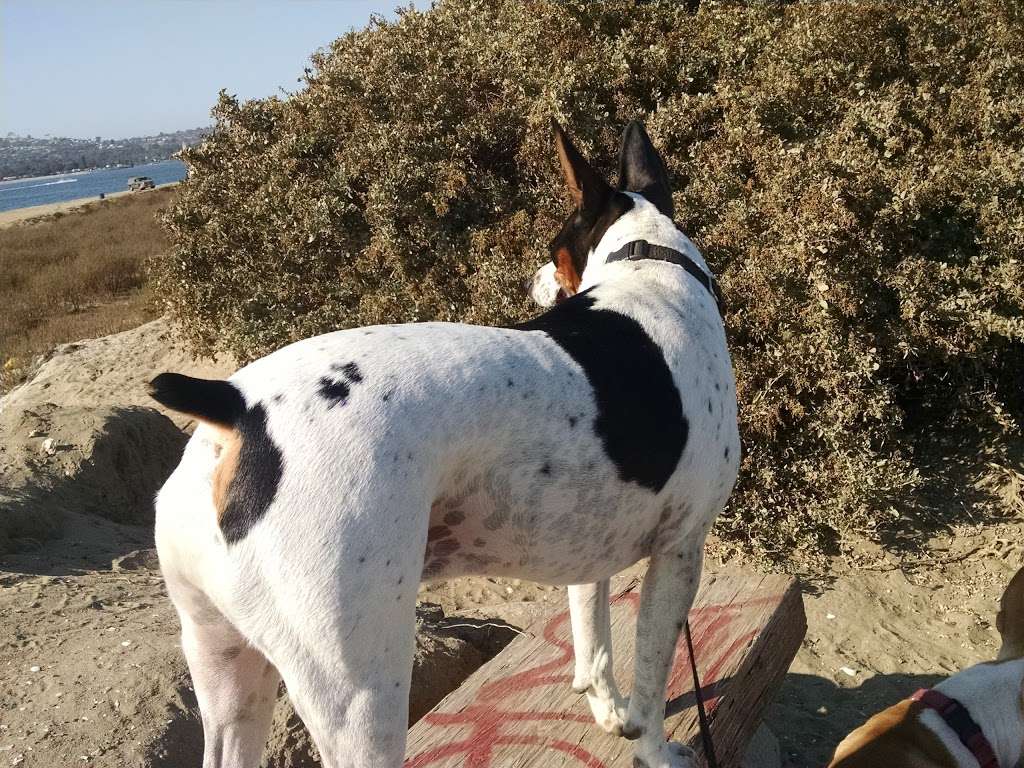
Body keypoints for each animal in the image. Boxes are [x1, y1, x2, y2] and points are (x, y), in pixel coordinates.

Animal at [149, 120, 737, 768]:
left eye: (555, 250)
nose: (530, 280)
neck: (651, 269)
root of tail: (237, 405)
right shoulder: (680, 552)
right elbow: (653, 683)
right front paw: (655, 749)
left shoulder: (593, 553)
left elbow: (594, 644)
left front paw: (609, 714)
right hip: (360, 697)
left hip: (224, 666)